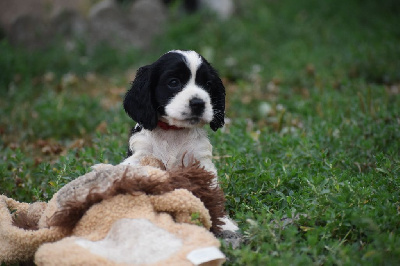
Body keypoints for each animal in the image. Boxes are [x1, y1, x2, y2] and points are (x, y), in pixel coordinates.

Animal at [120, 50, 239, 233]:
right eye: (174, 82)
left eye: (207, 84)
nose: (198, 103)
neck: (173, 132)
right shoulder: (141, 152)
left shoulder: (200, 159)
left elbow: (211, 190)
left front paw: (224, 222)